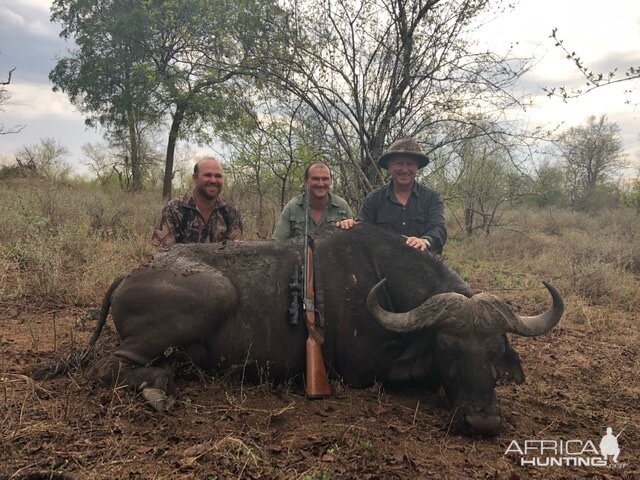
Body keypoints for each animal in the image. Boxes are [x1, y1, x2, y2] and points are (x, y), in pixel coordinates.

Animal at [37, 223, 564, 436]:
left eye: (493, 351)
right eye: (449, 349)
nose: (482, 422)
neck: (384, 281)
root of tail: (131, 274)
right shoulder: (364, 372)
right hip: (210, 295)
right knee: (109, 367)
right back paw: (159, 389)